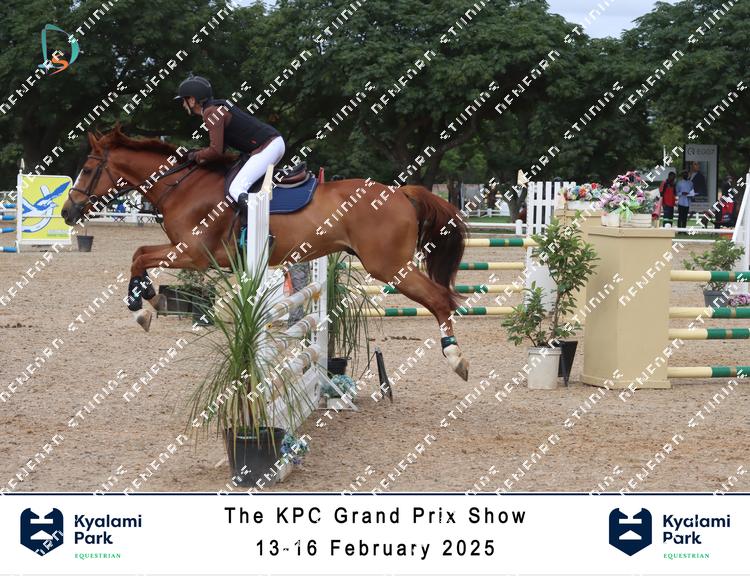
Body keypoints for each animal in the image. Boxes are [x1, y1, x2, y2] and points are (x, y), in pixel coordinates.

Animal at [61, 127, 470, 380]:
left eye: (86, 169)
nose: (68, 211)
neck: (182, 186)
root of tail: (401, 192)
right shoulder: (189, 252)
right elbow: (141, 253)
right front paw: (146, 296)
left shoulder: (195, 253)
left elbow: (140, 255)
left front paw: (139, 305)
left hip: (389, 266)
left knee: (440, 299)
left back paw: (455, 358)